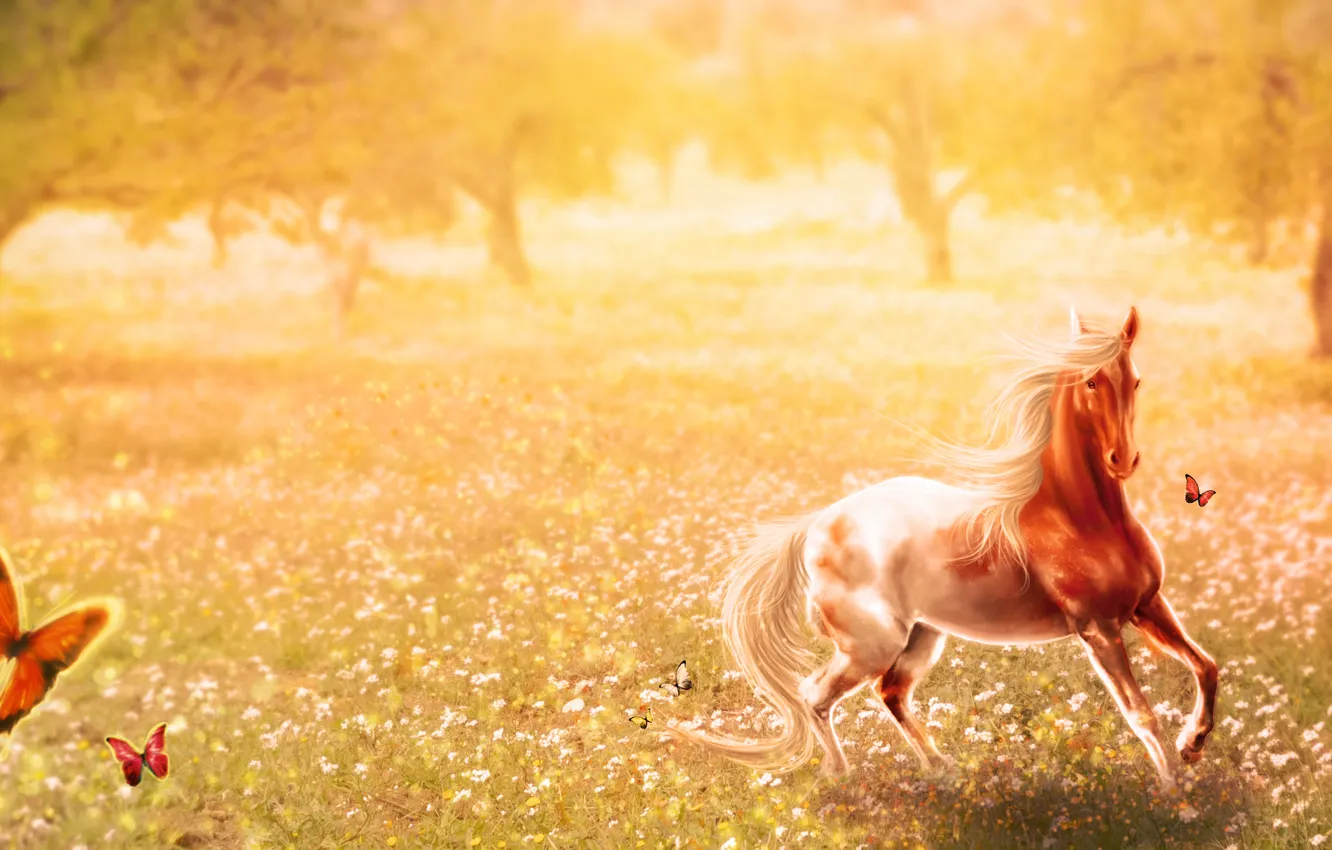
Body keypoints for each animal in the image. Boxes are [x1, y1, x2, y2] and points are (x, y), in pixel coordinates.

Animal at [667, 306, 1217, 791]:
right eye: (1090, 382)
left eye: (1136, 381)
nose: (1123, 459)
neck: (1081, 520)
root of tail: (818, 522)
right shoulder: (1098, 629)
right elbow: (1142, 713)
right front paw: (1175, 792)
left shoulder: (1148, 606)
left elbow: (1206, 666)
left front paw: (1192, 745)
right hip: (873, 644)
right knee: (815, 693)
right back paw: (840, 776)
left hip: (920, 637)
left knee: (888, 693)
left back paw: (941, 769)